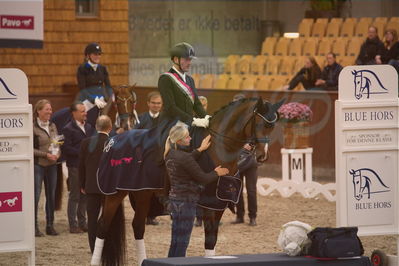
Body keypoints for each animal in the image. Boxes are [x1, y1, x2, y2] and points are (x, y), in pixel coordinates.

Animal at [90, 97, 284, 266]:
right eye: (261, 124)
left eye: (273, 126)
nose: (262, 156)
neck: (218, 147)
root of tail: (113, 140)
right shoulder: (208, 203)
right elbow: (209, 238)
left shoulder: (218, 204)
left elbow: (212, 240)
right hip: (115, 194)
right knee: (103, 226)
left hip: (143, 194)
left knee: (138, 226)